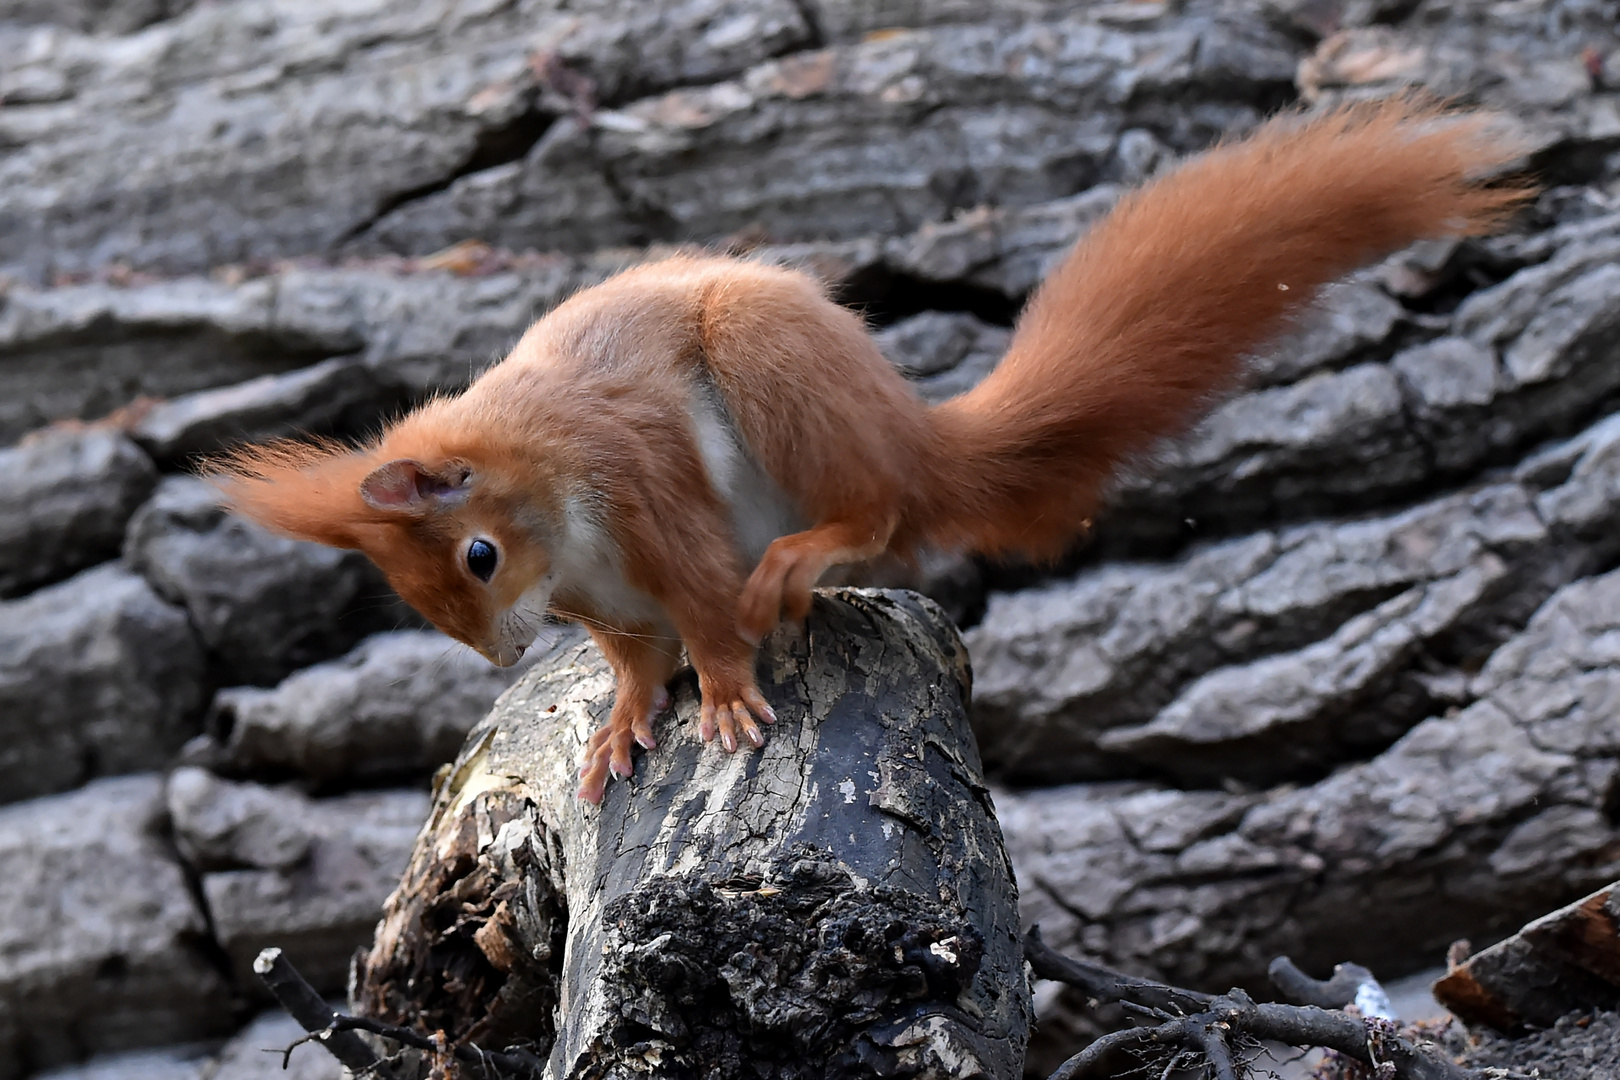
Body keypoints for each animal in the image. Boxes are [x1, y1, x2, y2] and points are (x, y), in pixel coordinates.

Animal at [208, 99, 1522, 803]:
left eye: (477, 556)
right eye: (411, 595)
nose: (498, 658)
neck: (557, 513)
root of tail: (912, 427)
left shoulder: (647, 490)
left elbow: (702, 609)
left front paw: (724, 696)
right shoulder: (604, 601)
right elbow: (635, 660)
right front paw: (623, 724)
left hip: (778, 378)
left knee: (880, 514)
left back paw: (801, 559)